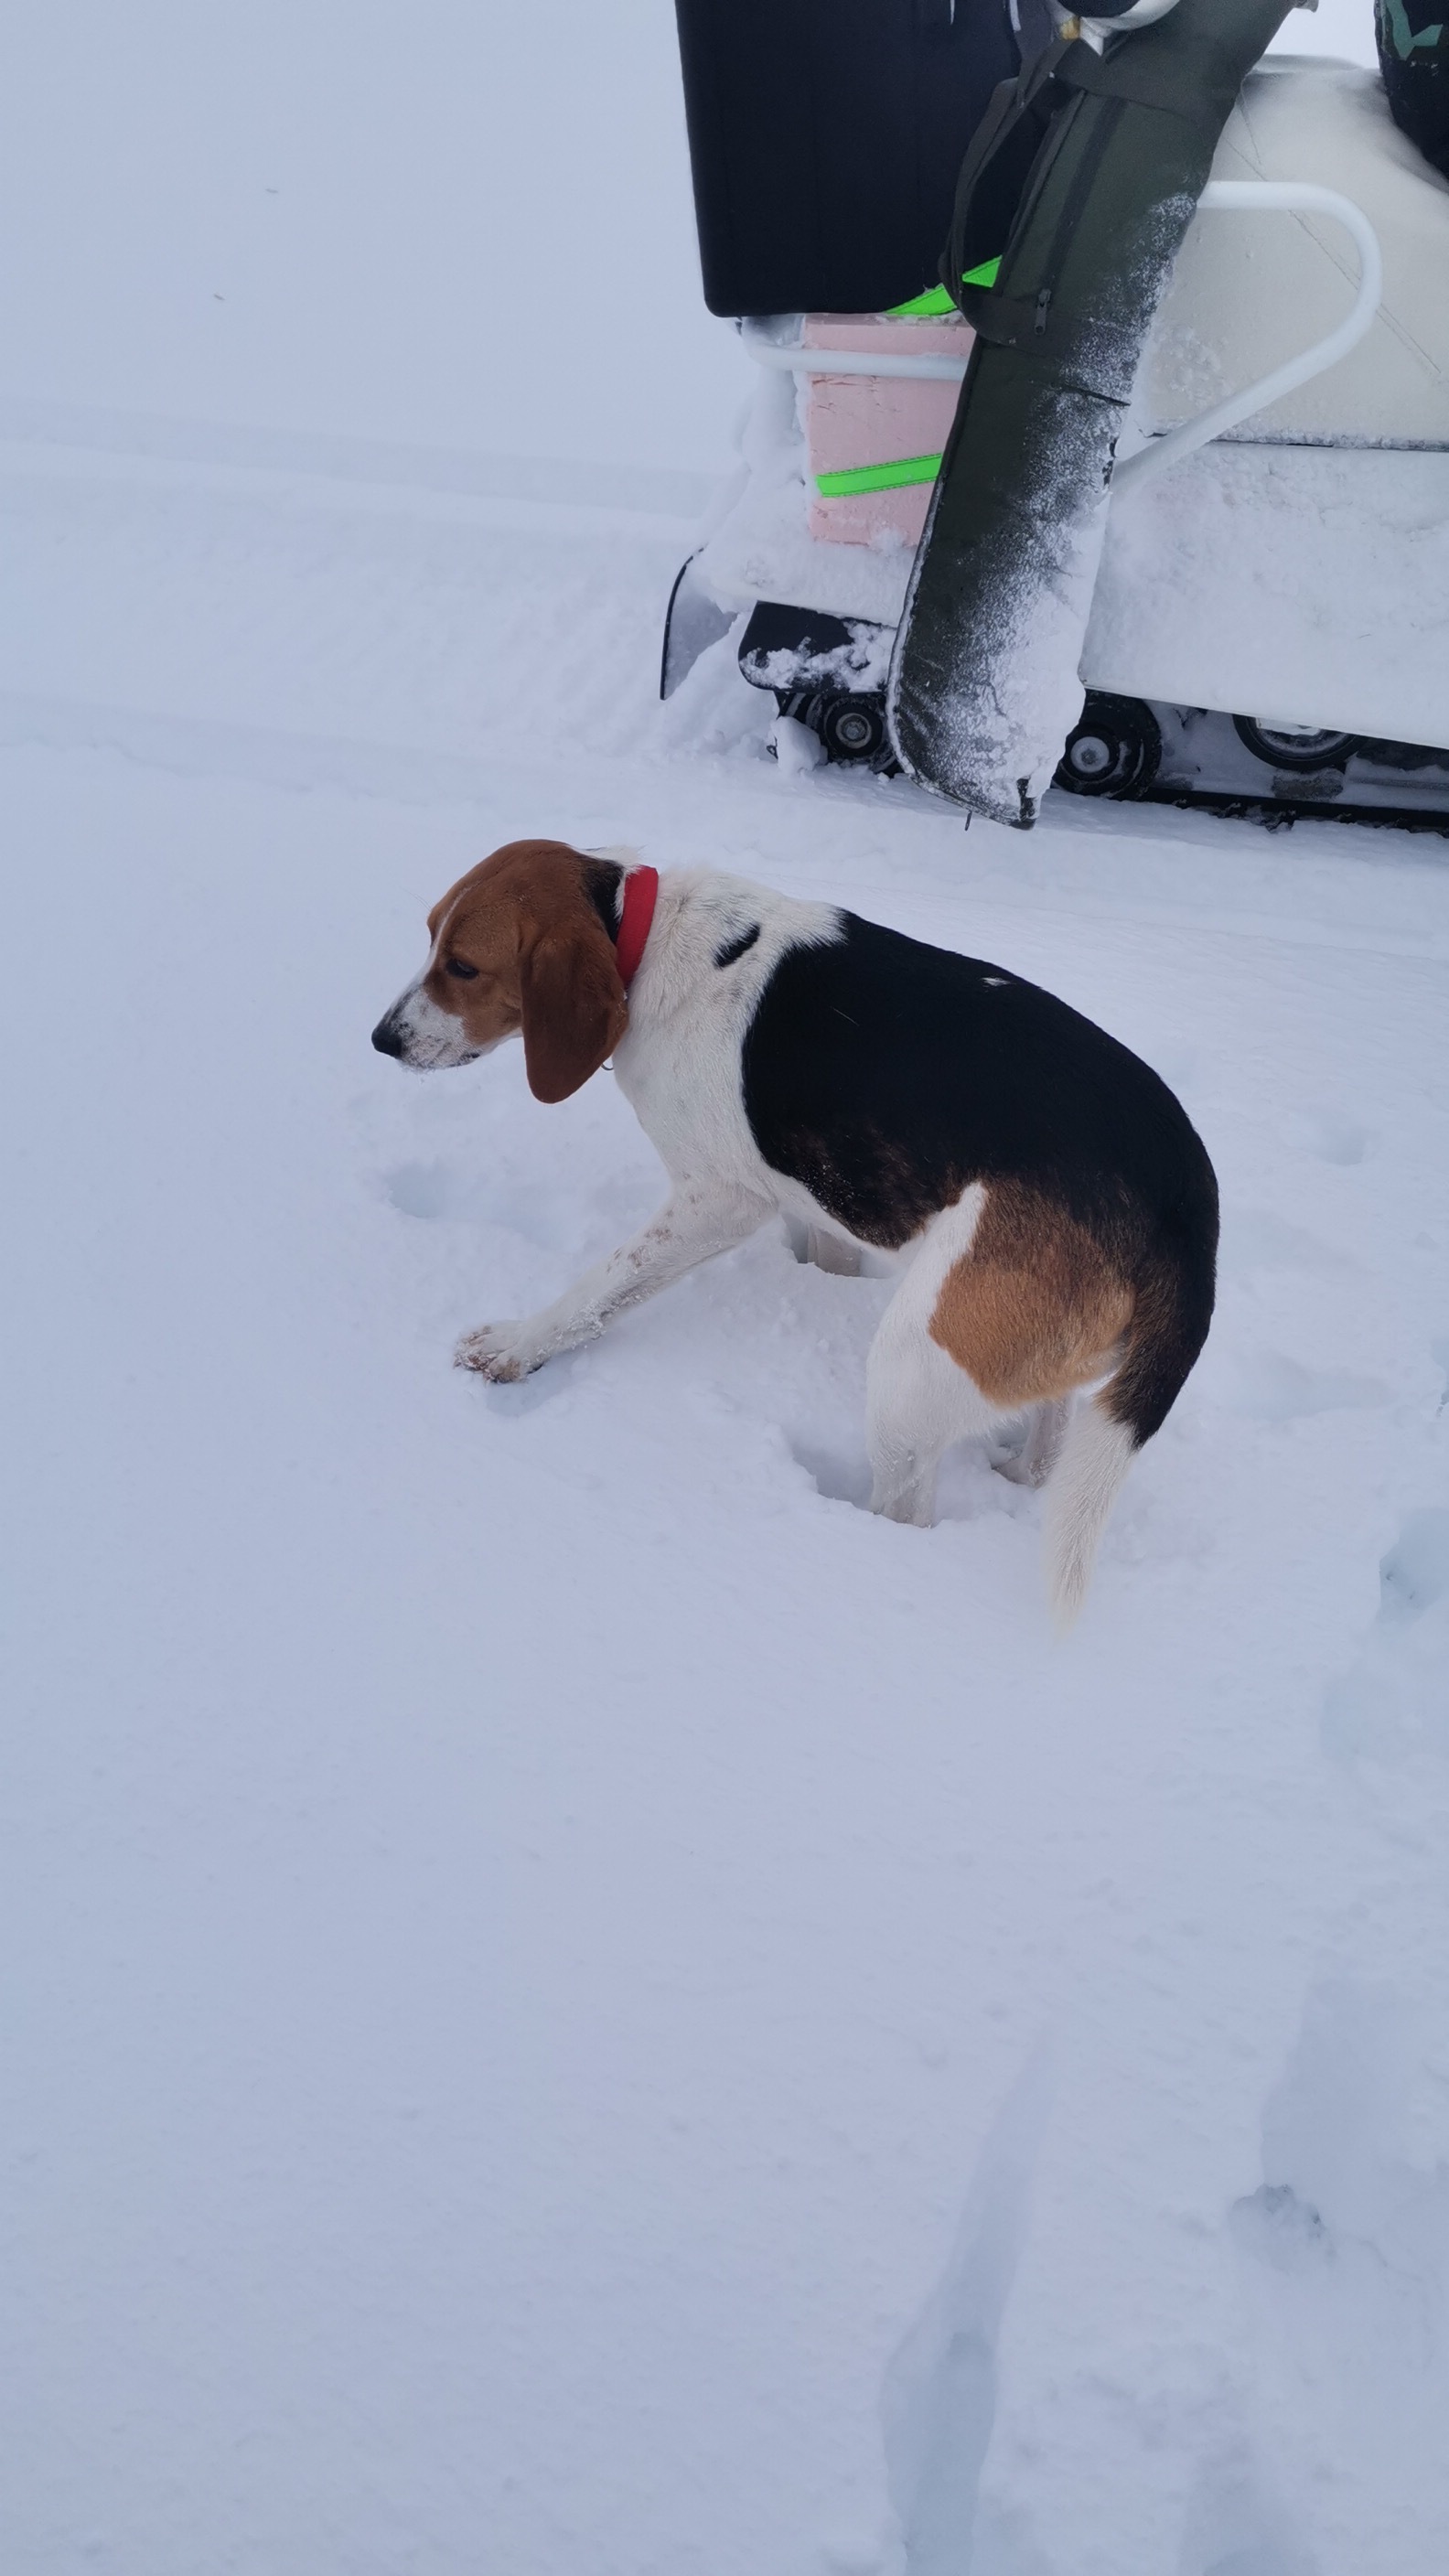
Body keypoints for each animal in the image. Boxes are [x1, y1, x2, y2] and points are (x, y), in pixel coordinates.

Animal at [369, 834, 1207, 1617]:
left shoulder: (717, 1199)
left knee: (905, 1510)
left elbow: (596, 1290)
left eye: (464, 967)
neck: (646, 940)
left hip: (909, 1363)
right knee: (1046, 1443)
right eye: (429, 937)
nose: (382, 1040)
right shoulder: (817, 1192)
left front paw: (517, 1346)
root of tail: (1191, 1202)